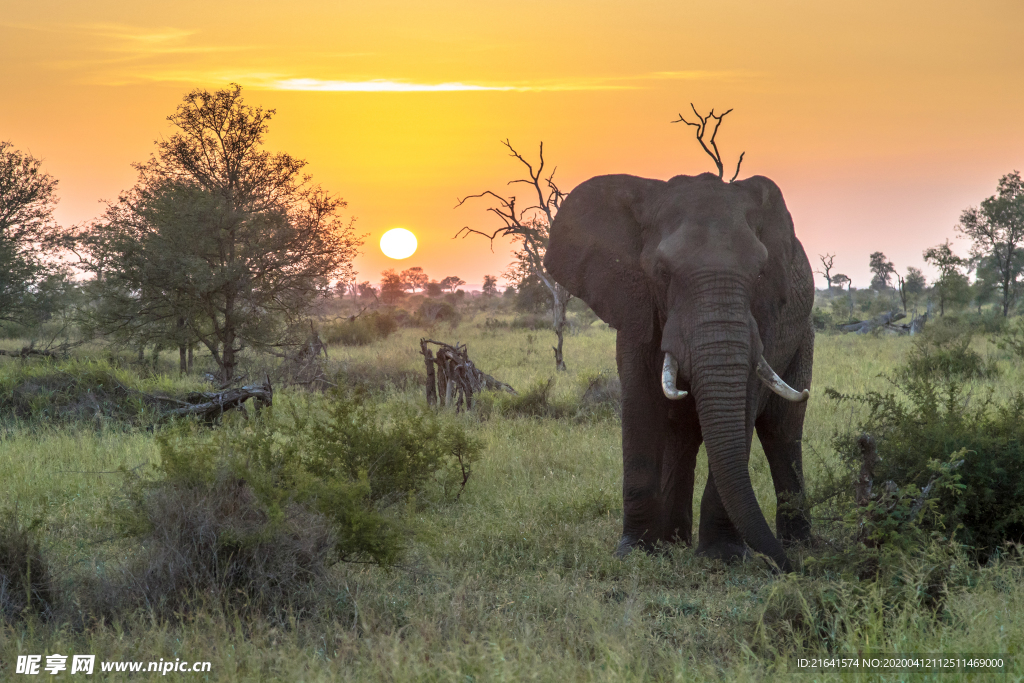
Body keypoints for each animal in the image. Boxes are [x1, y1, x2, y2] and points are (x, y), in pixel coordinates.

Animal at [544, 169, 815, 573]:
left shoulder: (765, 320)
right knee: (682, 434)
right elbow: (640, 405)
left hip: (803, 335)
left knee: (781, 430)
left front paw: (722, 557)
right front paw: (635, 552)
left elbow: (745, 404)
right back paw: (674, 543)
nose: (788, 569)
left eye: (760, 273)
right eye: (662, 272)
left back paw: (800, 545)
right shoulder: (634, 303)